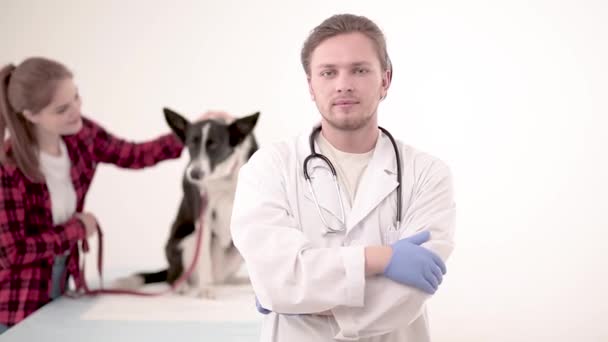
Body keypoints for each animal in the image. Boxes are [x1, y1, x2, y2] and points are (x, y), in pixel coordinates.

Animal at [114, 108, 258, 298]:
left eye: (213, 145)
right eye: (191, 144)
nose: (194, 174)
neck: (223, 177)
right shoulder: (203, 214)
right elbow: (203, 258)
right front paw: (205, 290)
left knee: (223, 278)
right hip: (188, 240)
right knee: (175, 277)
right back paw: (183, 286)